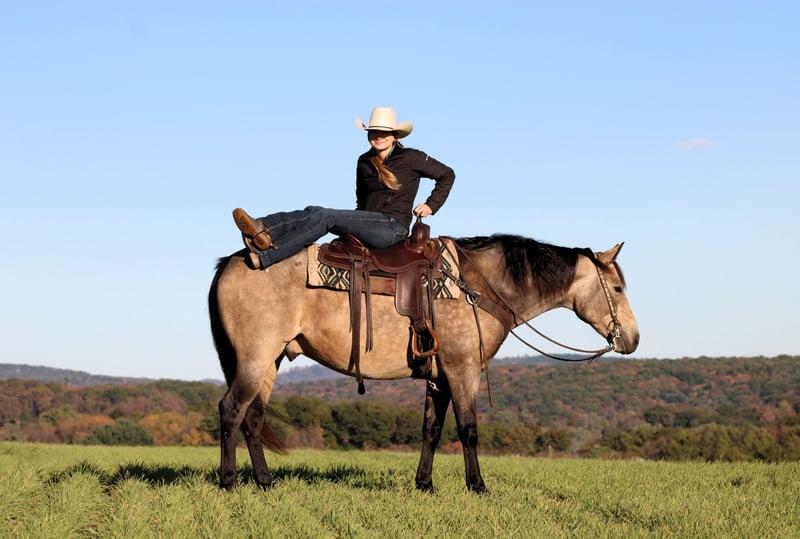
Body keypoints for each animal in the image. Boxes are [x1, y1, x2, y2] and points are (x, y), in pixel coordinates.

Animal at [208, 233, 639, 493]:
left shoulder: (440, 377)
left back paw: (265, 482)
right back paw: (229, 481)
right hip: (255, 358)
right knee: (231, 410)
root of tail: (231, 262)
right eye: (617, 288)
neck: (478, 287)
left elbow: (431, 430)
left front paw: (425, 484)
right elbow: (468, 430)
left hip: (270, 361)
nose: (632, 339)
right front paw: (477, 486)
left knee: (253, 417)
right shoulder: (463, 370)